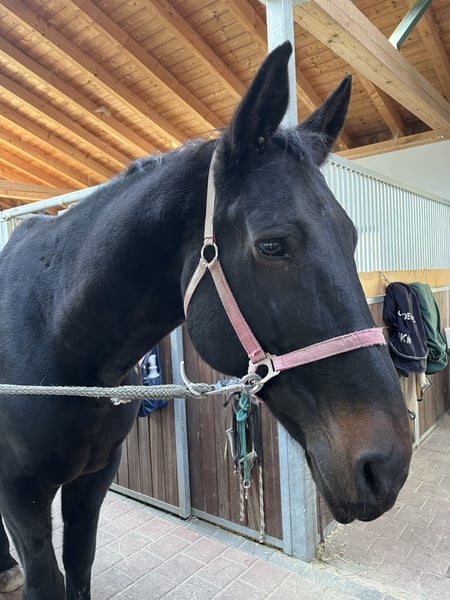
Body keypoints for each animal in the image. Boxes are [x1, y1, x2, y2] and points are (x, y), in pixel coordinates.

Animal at [0, 42, 412, 599]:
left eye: (350, 238)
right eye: (273, 245)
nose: (387, 465)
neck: (56, 340)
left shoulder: (93, 480)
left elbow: (79, 569)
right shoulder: (21, 498)